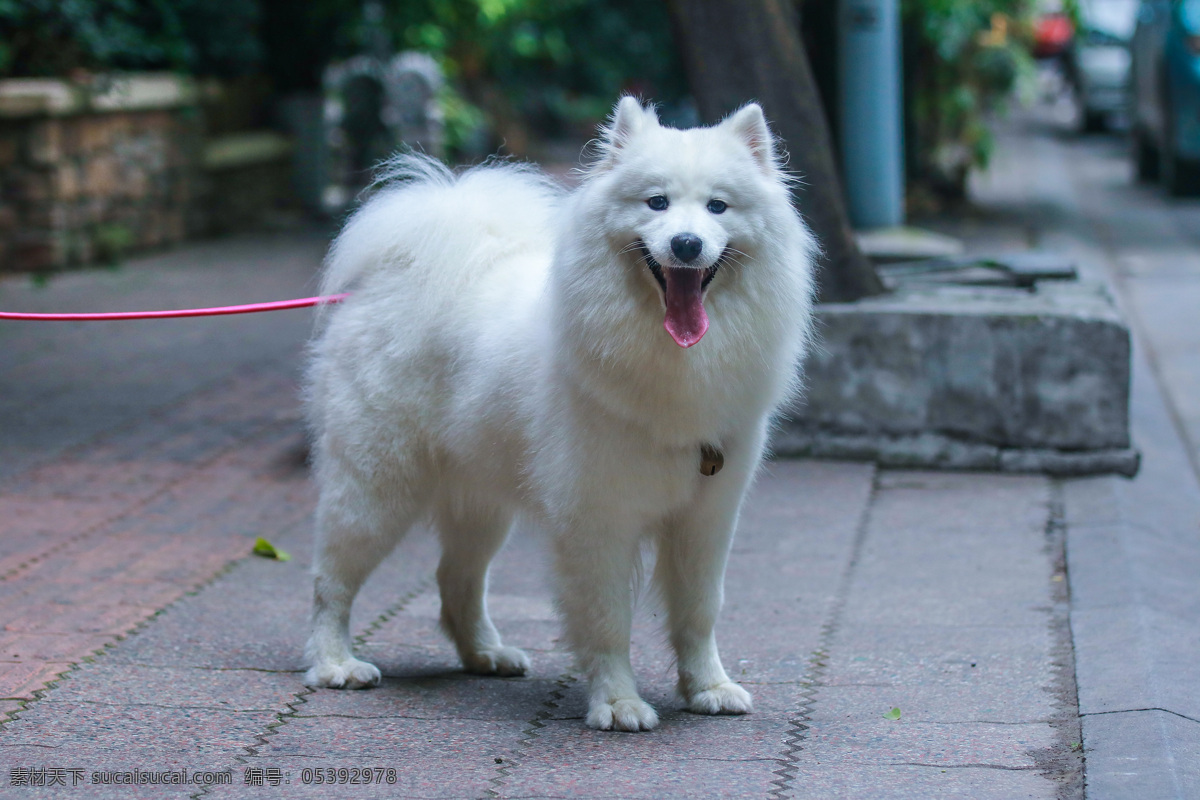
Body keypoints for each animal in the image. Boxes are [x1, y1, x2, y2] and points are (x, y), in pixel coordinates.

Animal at [304, 95, 820, 734]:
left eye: (717, 206)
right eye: (656, 202)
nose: (686, 244)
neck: (670, 360)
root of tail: (399, 275)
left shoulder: (706, 516)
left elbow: (700, 612)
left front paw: (710, 688)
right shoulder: (597, 518)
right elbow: (607, 620)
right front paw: (618, 703)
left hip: (480, 504)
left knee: (456, 580)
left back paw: (487, 655)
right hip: (376, 488)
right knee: (331, 581)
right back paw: (335, 664)